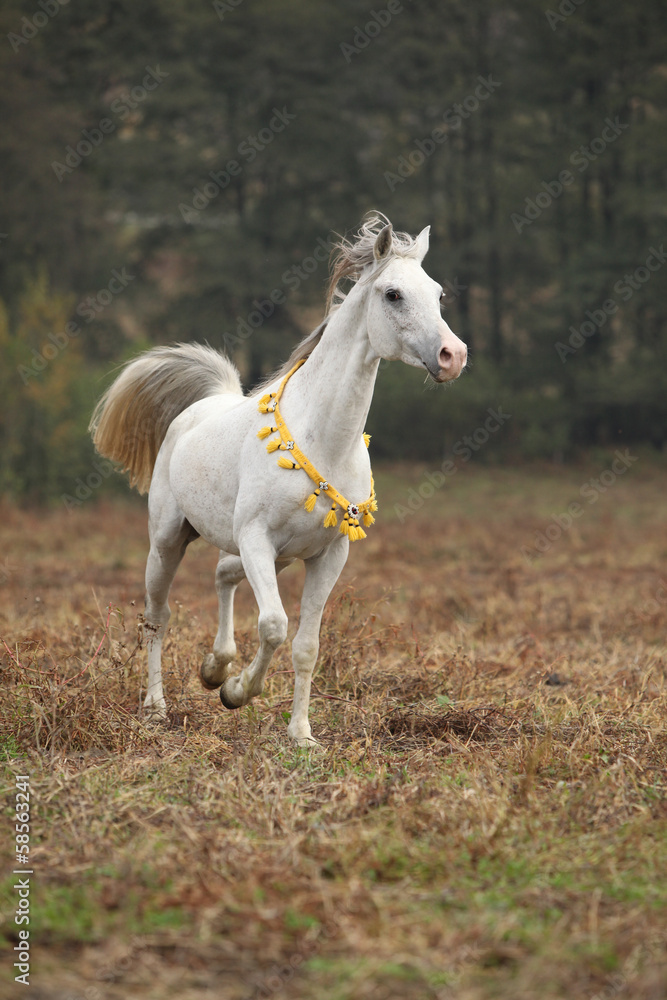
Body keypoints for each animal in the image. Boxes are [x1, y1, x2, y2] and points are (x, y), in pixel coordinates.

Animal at [90, 214, 467, 746]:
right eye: (393, 294)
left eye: (437, 293)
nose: (453, 355)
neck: (324, 438)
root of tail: (203, 405)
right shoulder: (256, 539)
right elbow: (273, 624)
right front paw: (237, 693)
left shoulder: (328, 554)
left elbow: (306, 645)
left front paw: (300, 734)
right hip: (168, 541)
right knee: (157, 618)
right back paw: (157, 707)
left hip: (278, 557)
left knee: (222, 575)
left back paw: (214, 667)